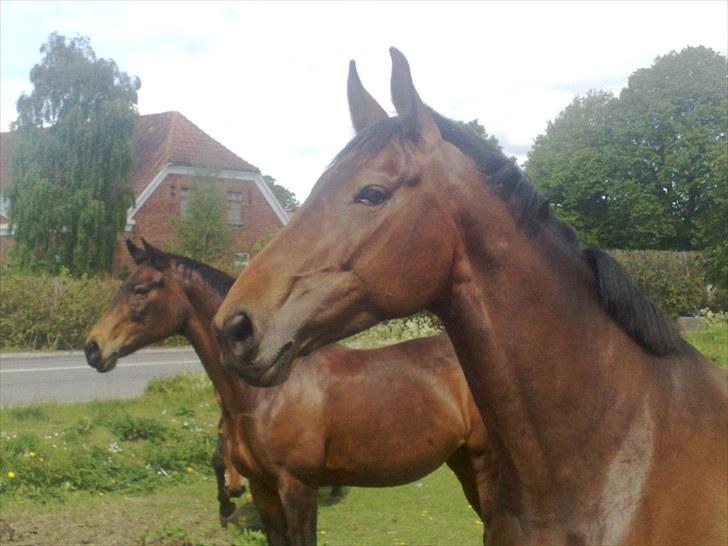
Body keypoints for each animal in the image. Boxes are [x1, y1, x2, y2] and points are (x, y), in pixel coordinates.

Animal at [84, 239, 494, 544]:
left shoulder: (298, 487)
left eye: (139, 289)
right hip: (462, 461)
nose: (93, 348)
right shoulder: (263, 489)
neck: (267, 395)